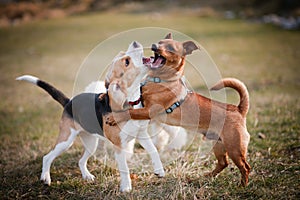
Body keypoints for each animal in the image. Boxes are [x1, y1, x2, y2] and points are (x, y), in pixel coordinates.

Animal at [106, 33, 252, 187]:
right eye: (160, 42)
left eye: (170, 48)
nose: (154, 46)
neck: (159, 80)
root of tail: (238, 109)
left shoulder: (148, 111)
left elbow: (130, 112)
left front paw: (113, 117)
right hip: (219, 145)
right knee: (223, 163)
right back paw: (207, 176)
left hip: (234, 148)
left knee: (245, 167)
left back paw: (243, 185)